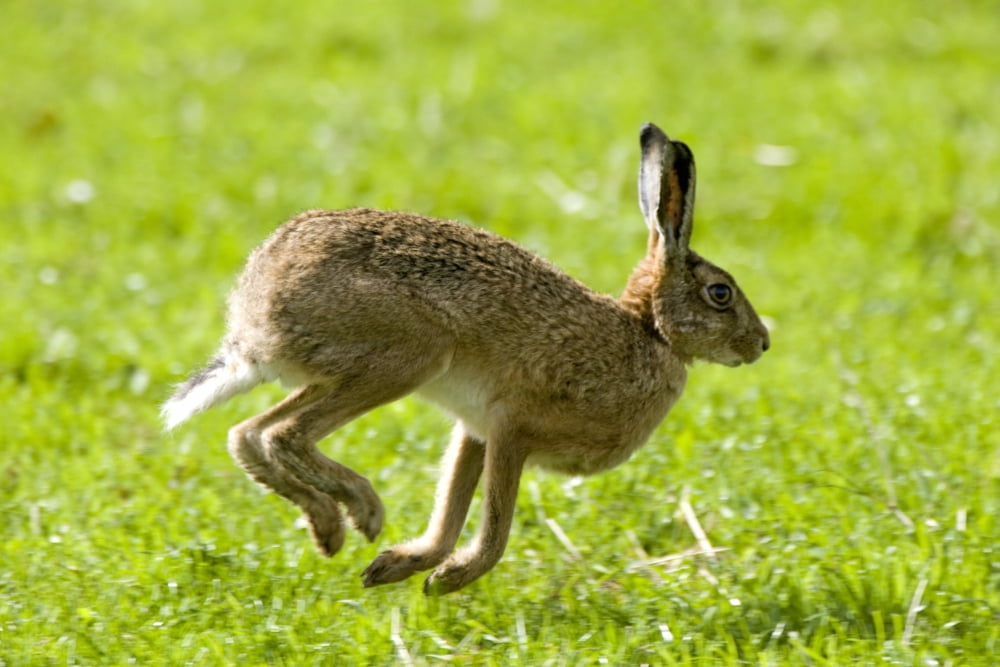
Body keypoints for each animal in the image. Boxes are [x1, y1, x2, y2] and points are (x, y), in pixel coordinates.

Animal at [161, 122, 769, 595]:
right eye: (721, 293)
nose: (762, 343)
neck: (651, 333)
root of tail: (252, 320)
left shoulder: (476, 431)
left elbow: (450, 508)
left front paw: (402, 567)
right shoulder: (513, 429)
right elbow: (495, 527)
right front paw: (450, 578)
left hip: (338, 372)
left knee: (247, 433)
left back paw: (328, 527)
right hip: (407, 358)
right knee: (286, 434)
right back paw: (362, 508)